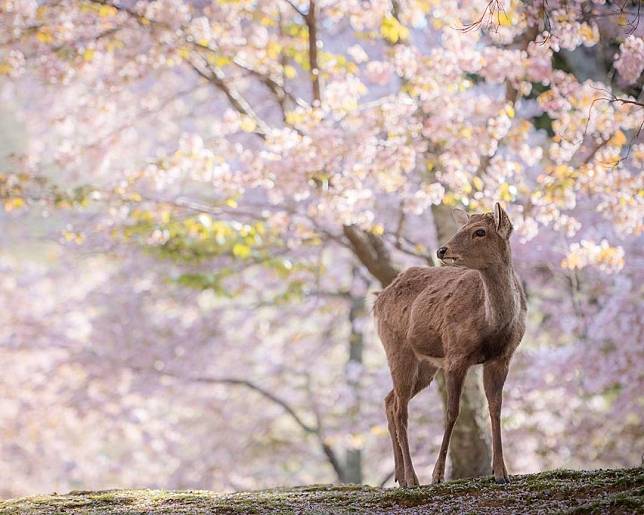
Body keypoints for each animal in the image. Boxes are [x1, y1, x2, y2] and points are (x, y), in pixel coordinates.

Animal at [374, 203, 524, 488]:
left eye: (480, 231)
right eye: (461, 227)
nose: (441, 250)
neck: (491, 323)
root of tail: (377, 299)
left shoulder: (502, 357)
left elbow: (496, 408)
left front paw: (501, 472)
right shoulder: (456, 353)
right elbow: (452, 412)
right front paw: (437, 475)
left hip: (426, 365)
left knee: (389, 400)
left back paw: (399, 475)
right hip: (396, 347)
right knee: (400, 409)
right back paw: (412, 478)